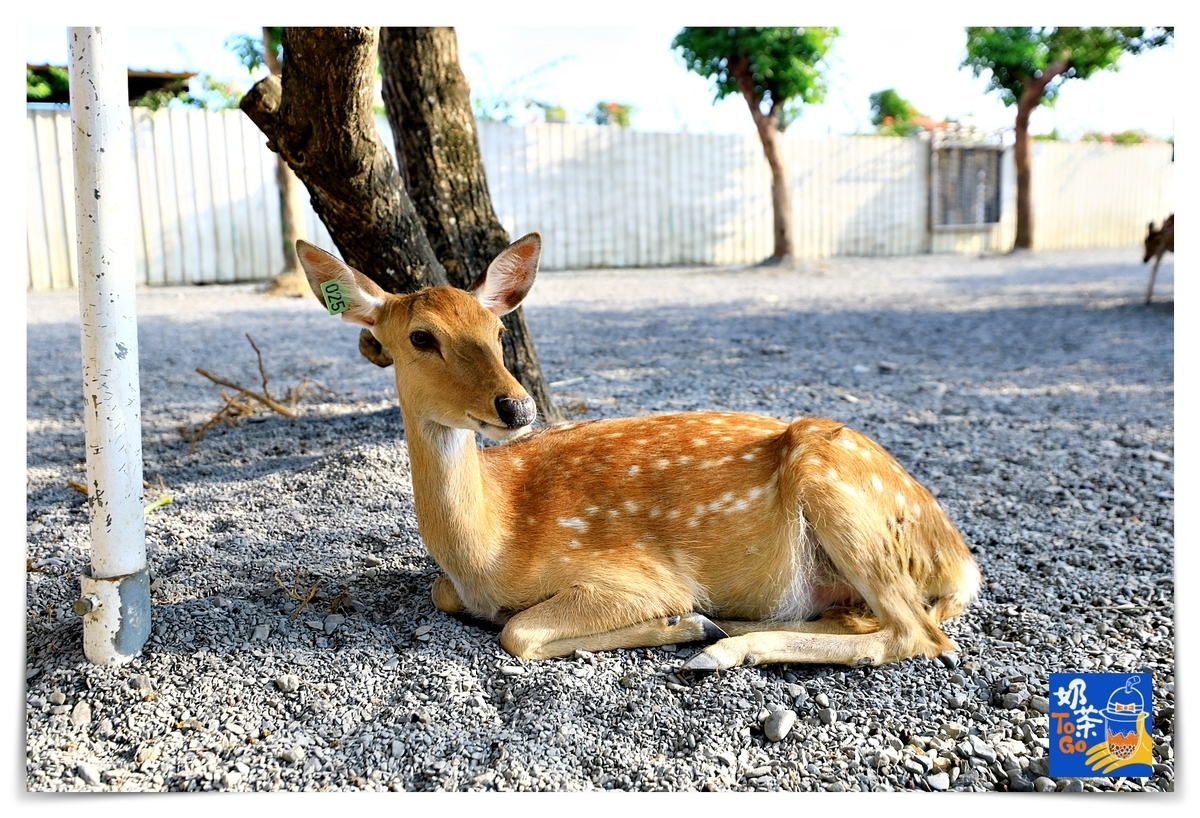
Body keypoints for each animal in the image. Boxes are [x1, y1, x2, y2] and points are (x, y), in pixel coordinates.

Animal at [292, 232, 984, 666]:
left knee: (916, 634)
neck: (487, 551)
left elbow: (519, 630)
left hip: (838, 484)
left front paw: (680, 621)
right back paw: (724, 628)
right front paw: (689, 623)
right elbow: (452, 599)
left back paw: (720, 646)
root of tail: (960, 560)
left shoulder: (629, 574)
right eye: (420, 337)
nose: (515, 407)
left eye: (494, 328)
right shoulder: (454, 586)